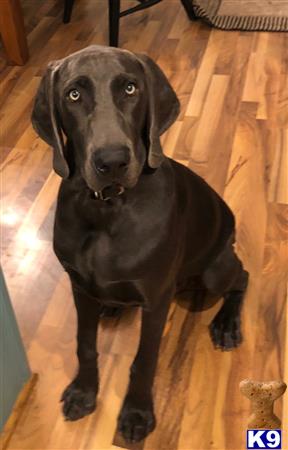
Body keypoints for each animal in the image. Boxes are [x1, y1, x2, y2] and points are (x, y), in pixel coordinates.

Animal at [31, 46, 248, 442]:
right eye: (73, 95)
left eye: (130, 88)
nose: (112, 161)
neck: (107, 207)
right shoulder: (78, 285)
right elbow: (85, 344)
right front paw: (84, 392)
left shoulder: (156, 297)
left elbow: (144, 359)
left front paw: (136, 413)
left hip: (216, 268)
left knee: (242, 276)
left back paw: (227, 324)